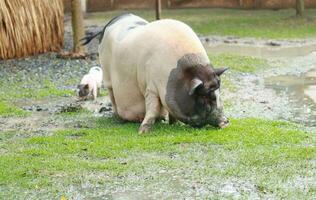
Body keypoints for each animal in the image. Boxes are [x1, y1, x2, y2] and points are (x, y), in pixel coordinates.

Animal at [82, 13, 228, 133]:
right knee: (112, 96)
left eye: (218, 93)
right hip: (107, 77)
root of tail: (109, 23)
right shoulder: (151, 87)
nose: (226, 122)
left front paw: (173, 124)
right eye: (204, 97)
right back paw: (117, 117)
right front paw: (143, 132)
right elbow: (152, 107)